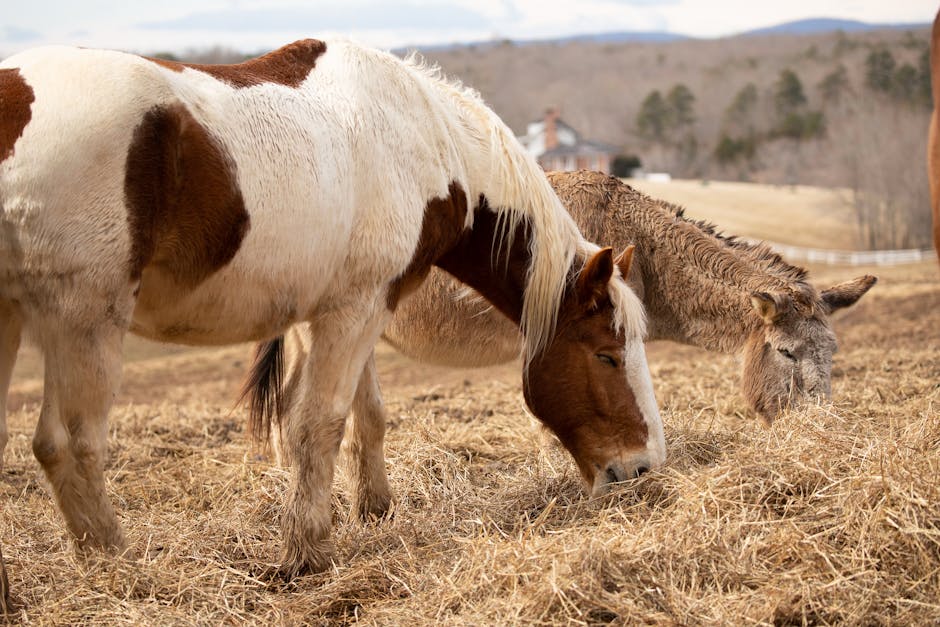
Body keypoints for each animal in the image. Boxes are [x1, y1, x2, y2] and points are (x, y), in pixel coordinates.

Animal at [0, 41, 660, 576]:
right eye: (606, 355)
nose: (642, 469)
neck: (423, 138)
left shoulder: (356, 308)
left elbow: (366, 414)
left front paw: (376, 508)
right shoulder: (357, 309)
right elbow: (318, 423)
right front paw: (308, 550)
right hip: (85, 323)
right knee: (69, 443)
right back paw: (118, 564)